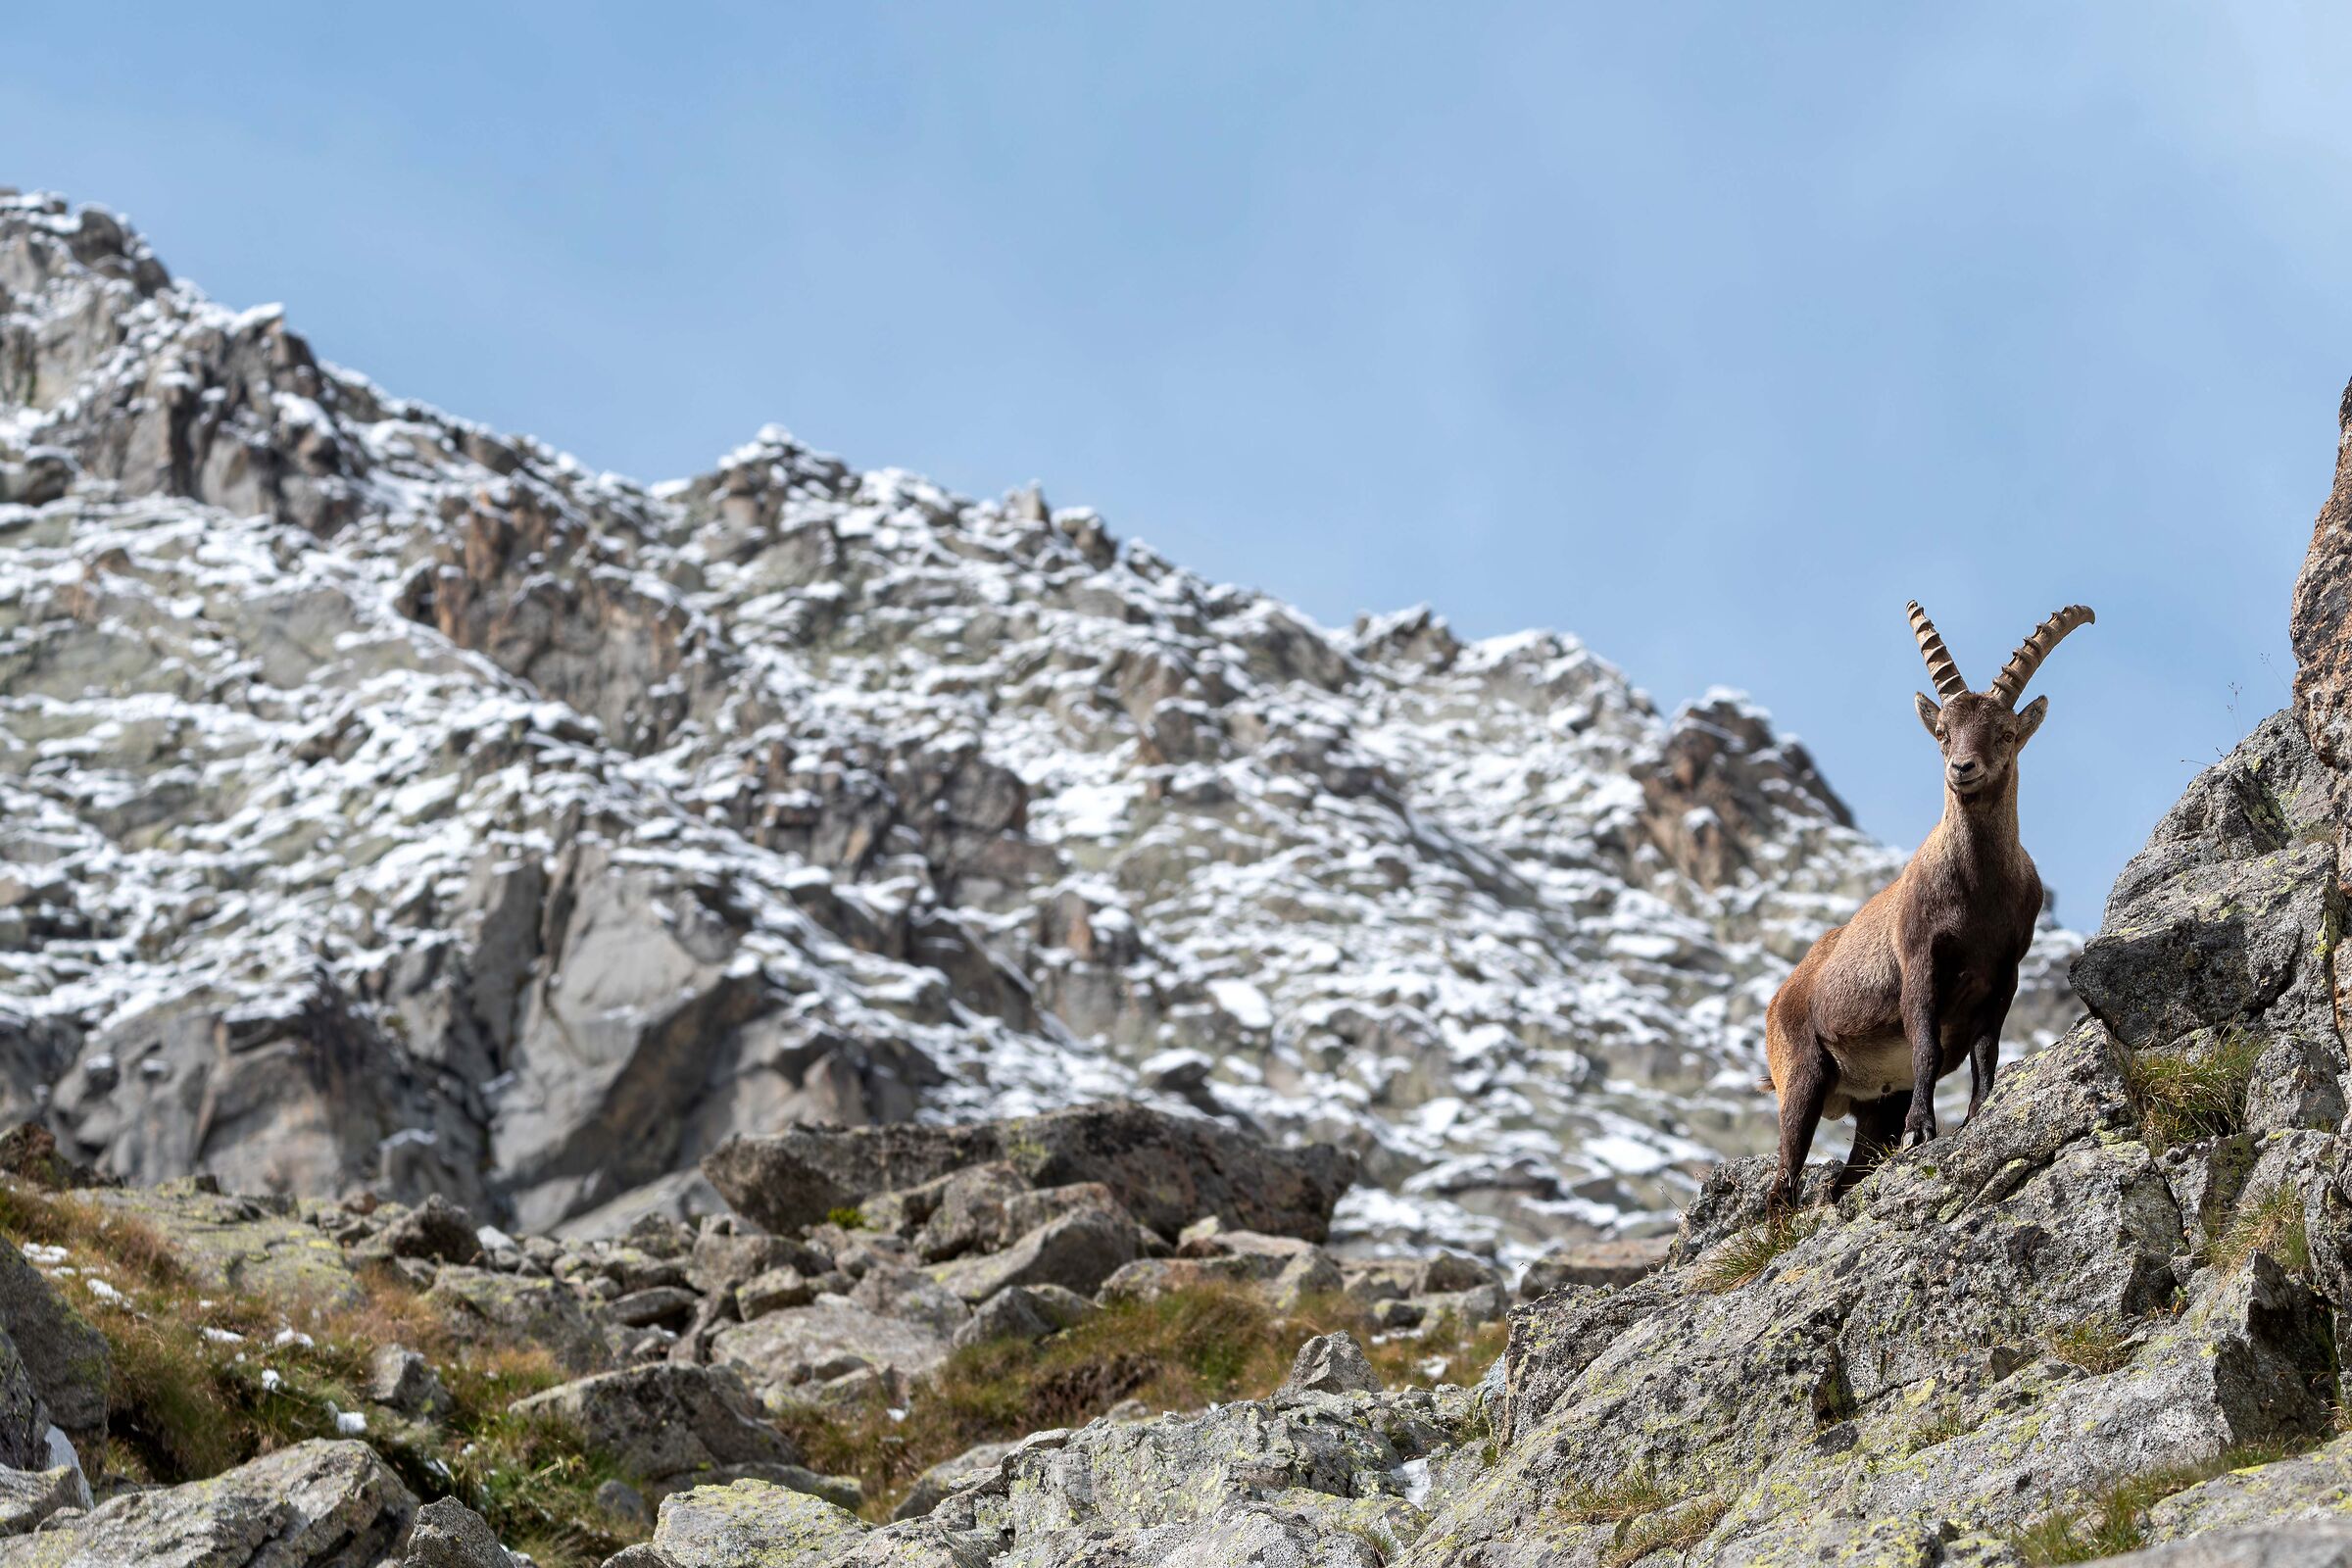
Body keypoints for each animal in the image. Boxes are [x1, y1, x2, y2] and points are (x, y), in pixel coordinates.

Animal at [1760, 601, 2093, 1212]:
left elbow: (1986, 1050)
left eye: (2005, 733)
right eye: (1943, 732)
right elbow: (1926, 1048)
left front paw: (1978, 1113)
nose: (1962, 768)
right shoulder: (1919, 961)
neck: (1978, 893)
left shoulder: (2003, 973)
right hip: (1802, 1077)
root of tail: (1780, 997)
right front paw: (1923, 1130)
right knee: (1783, 1187)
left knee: (1844, 1179)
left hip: (1874, 1107)